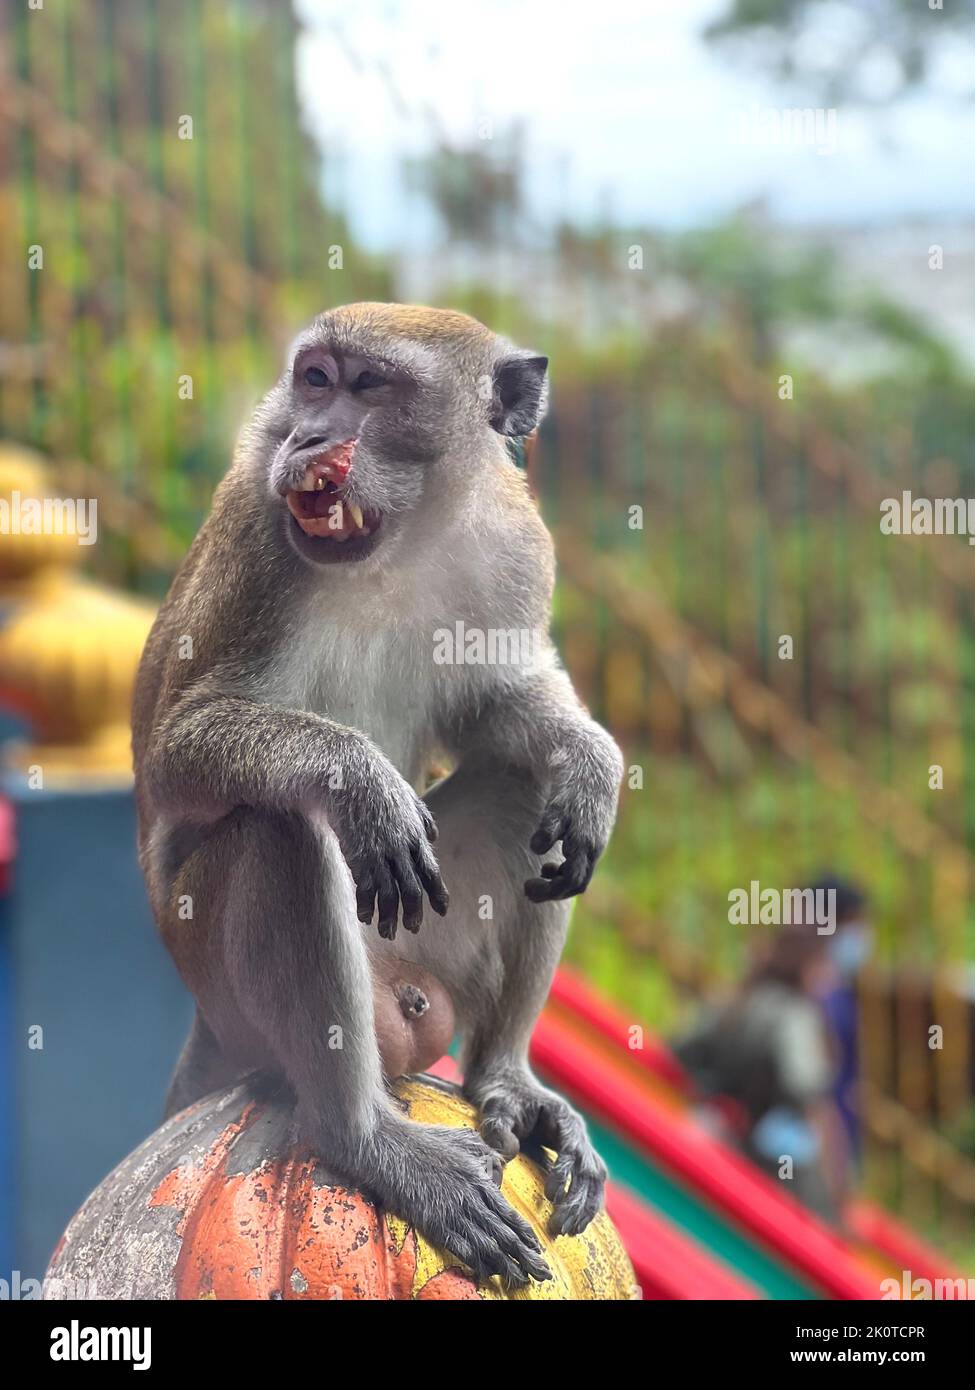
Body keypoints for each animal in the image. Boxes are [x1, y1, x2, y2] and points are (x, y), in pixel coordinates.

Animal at [131, 301, 623, 1278]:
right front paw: (360, 782)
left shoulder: (517, 546)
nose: (309, 436)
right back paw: (363, 1138)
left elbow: (497, 710)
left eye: (369, 386)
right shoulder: (255, 532)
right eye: (314, 379)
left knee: (530, 798)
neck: (401, 538)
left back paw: (505, 1079)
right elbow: (176, 751)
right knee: (278, 828)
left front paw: (592, 763)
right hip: (221, 973)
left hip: (426, 943)